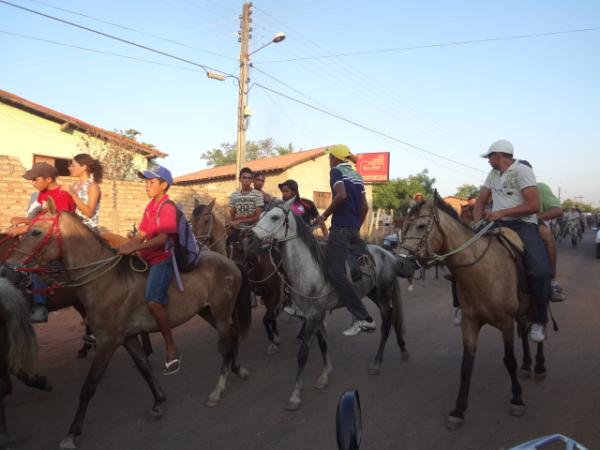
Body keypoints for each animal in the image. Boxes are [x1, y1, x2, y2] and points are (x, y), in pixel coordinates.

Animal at [4, 202, 251, 448]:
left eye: (36, 232)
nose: (8, 267)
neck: (106, 279)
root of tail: (230, 262)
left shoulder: (108, 341)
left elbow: (88, 387)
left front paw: (72, 433)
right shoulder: (128, 337)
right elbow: (144, 369)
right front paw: (158, 402)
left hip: (220, 312)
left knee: (225, 344)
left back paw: (217, 390)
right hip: (207, 311)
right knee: (232, 335)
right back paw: (238, 368)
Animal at [191, 200, 288, 356]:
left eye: (206, 220)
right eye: (191, 220)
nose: (197, 245)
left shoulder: (275, 292)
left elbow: (267, 317)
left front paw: (274, 339)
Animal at [246, 199, 410, 410]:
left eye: (275, 217)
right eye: (259, 216)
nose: (248, 240)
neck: (309, 270)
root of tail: (389, 255)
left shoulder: (314, 315)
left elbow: (303, 354)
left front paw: (295, 395)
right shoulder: (316, 314)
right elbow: (323, 345)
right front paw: (324, 377)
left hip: (382, 296)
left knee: (388, 321)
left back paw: (376, 362)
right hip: (373, 294)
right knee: (394, 318)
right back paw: (402, 349)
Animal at [396, 192, 548, 428]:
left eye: (421, 226)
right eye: (403, 226)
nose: (400, 266)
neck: (482, 271)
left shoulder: (505, 323)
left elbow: (509, 361)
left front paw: (517, 399)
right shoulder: (470, 322)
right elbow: (466, 365)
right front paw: (459, 409)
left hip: (538, 298)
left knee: (540, 326)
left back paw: (539, 366)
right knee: (524, 330)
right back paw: (526, 365)